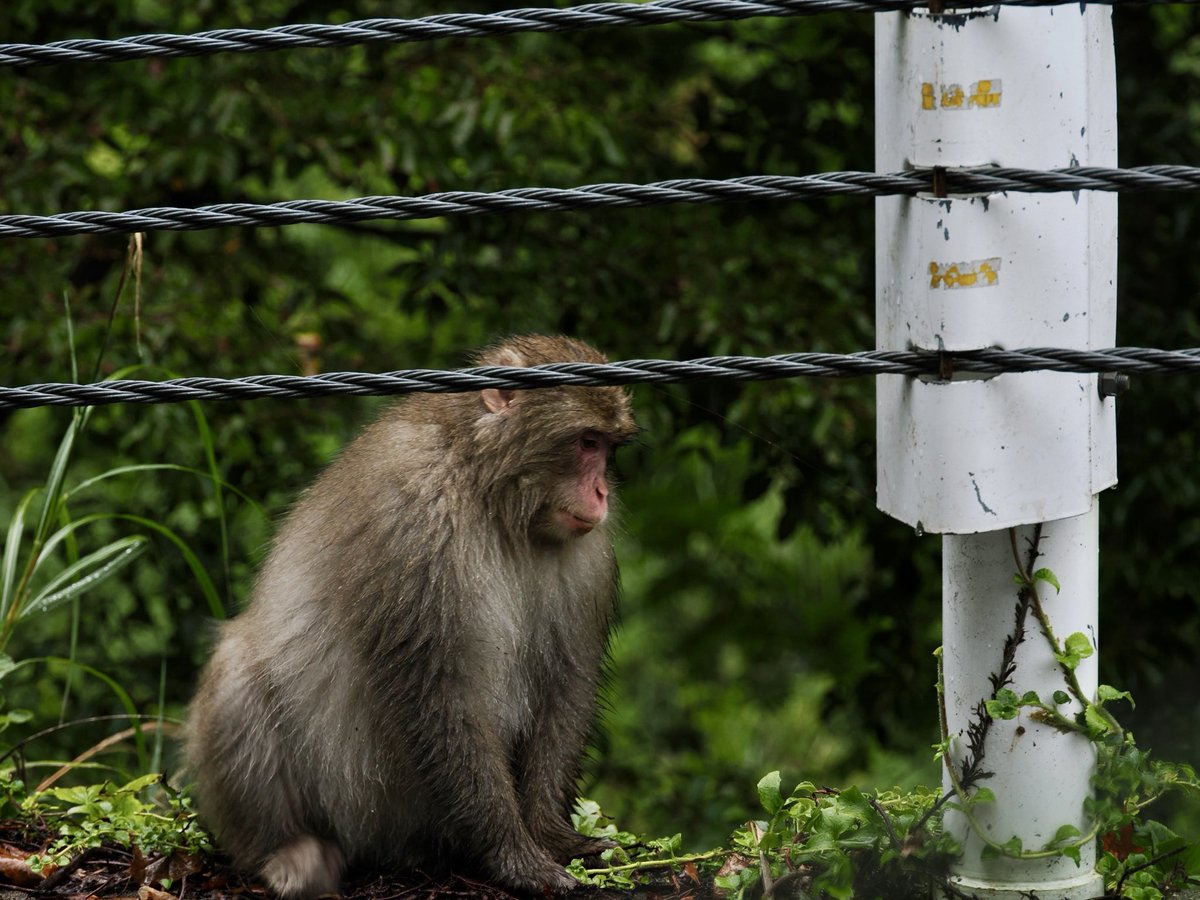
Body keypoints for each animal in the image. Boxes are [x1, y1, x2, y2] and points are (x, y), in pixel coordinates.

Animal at [185, 335, 638, 898]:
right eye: (586, 442)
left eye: (608, 447)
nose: (601, 493)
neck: (487, 490)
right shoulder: (412, 519)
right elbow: (434, 691)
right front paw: (512, 854)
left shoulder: (590, 554)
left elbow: (568, 682)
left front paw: (552, 836)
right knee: (238, 669)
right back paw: (285, 852)